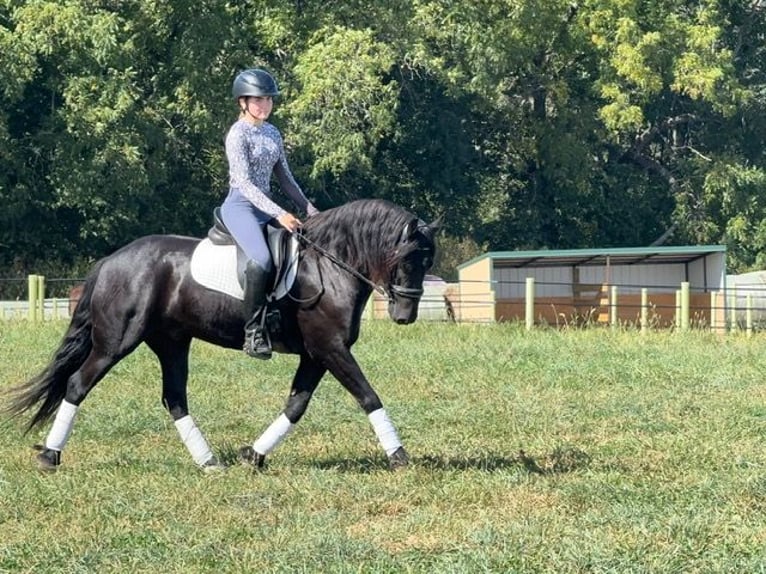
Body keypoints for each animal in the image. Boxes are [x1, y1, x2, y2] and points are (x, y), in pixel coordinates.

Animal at [4, 199, 438, 472]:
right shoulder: (329, 348)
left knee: (174, 398)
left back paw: (209, 462)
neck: (328, 267)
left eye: (427, 259)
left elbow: (296, 406)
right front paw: (399, 456)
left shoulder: (316, 354)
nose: (405, 315)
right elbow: (368, 396)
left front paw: (254, 455)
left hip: (172, 342)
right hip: (117, 342)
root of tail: (111, 260)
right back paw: (50, 456)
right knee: (78, 384)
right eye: (405, 258)